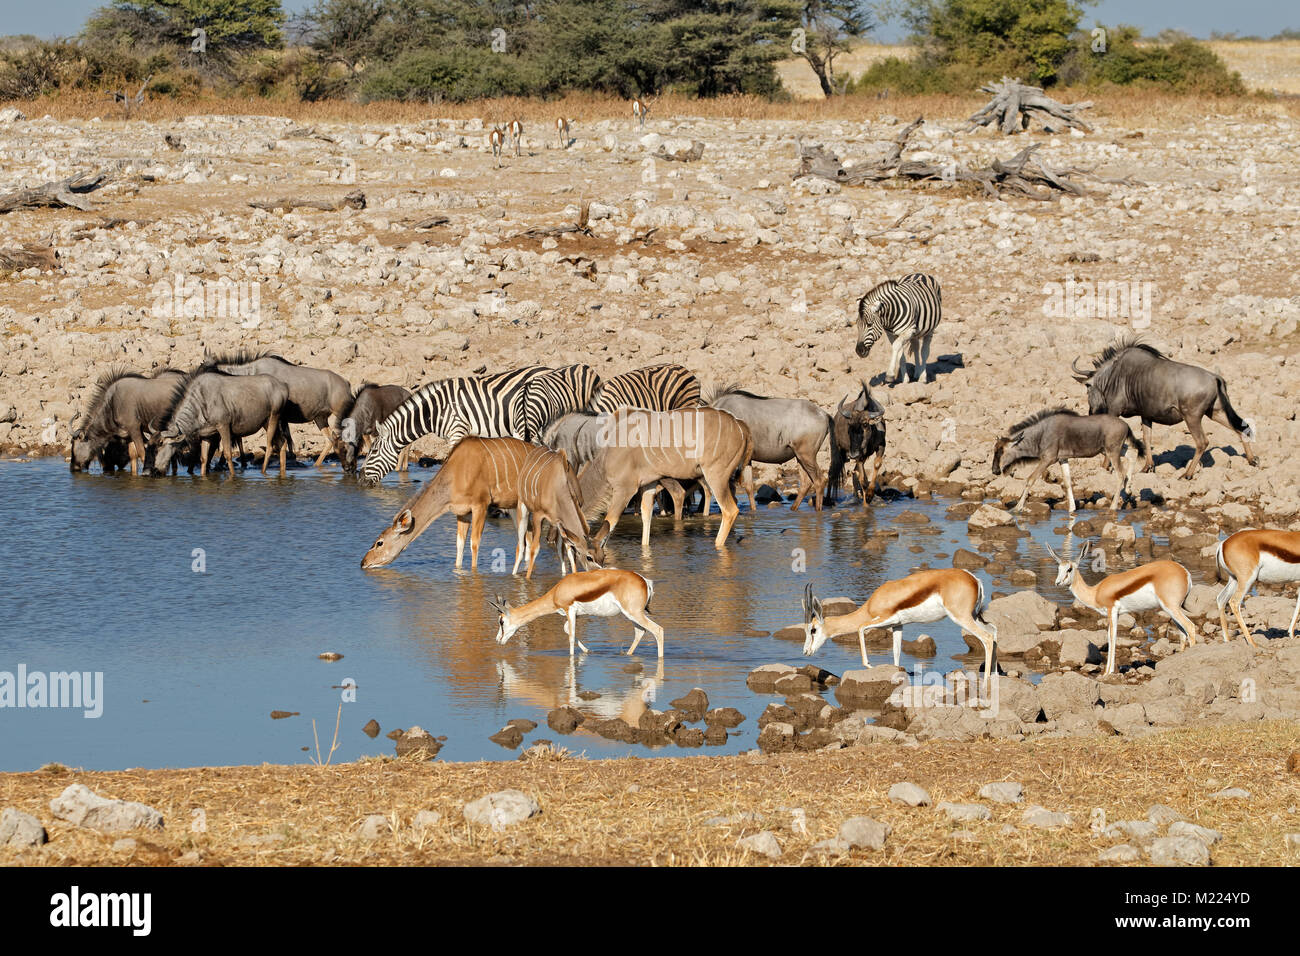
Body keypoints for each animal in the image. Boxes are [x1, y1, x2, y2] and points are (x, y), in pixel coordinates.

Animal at [491, 567, 665, 658]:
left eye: (501, 621)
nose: (498, 639)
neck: (557, 591)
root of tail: (645, 581)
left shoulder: (570, 609)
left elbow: (570, 636)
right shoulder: (577, 614)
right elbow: (567, 630)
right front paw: (588, 651)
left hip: (633, 613)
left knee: (658, 630)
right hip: (631, 615)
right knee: (640, 632)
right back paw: (627, 655)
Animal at [800, 567, 993, 697]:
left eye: (813, 630)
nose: (806, 651)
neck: (871, 605)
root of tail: (973, 578)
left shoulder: (884, 620)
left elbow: (861, 628)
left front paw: (870, 666)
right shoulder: (898, 626)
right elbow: (896, 653)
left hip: (961, 617)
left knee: (988, 637)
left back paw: (987, 683)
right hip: (974, 617)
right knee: (994, 630)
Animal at [987, 408, 1144, 515]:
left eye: (1001, 451)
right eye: (994, 449)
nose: (995, 470)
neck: (1041, 433)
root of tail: (1126, 425)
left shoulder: (1048, 459)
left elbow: (1030, 479)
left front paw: (1017, 508)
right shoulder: (1062, 459)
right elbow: (1067, 482)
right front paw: (1072, 509)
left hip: (1112, 452)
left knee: (1120, 474)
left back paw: (1113, 507)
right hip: (1109, 450)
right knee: (1132, 454)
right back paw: (1128, 488)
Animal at [1045, 541, 1196, 676]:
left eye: (1069, 569)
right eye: (1059, 569)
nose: (1057, 582)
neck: (1096, 592)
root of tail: (1185, 573)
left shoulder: (1111, 610)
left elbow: (1112, 637)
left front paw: (1107, 673)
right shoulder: (1116, 614)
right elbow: (1110, 637)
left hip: (1171, 607)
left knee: (1190, 627)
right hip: (1172, 610)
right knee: (1183, 633)